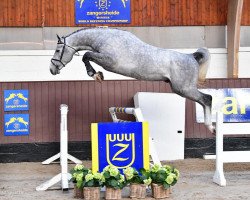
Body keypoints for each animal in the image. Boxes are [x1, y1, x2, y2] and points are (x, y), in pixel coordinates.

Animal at [49, 26, 214, 133]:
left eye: (57, 50)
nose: (52, 69)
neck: (105, 38)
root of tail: (191, 57)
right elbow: (87, 55)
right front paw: (97, 74)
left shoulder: (109, 61)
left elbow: (86, 55)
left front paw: (95, 74)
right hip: (181, 89)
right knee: (204, 100)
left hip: (184, 89)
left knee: (207, 98)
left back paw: (211, 127)